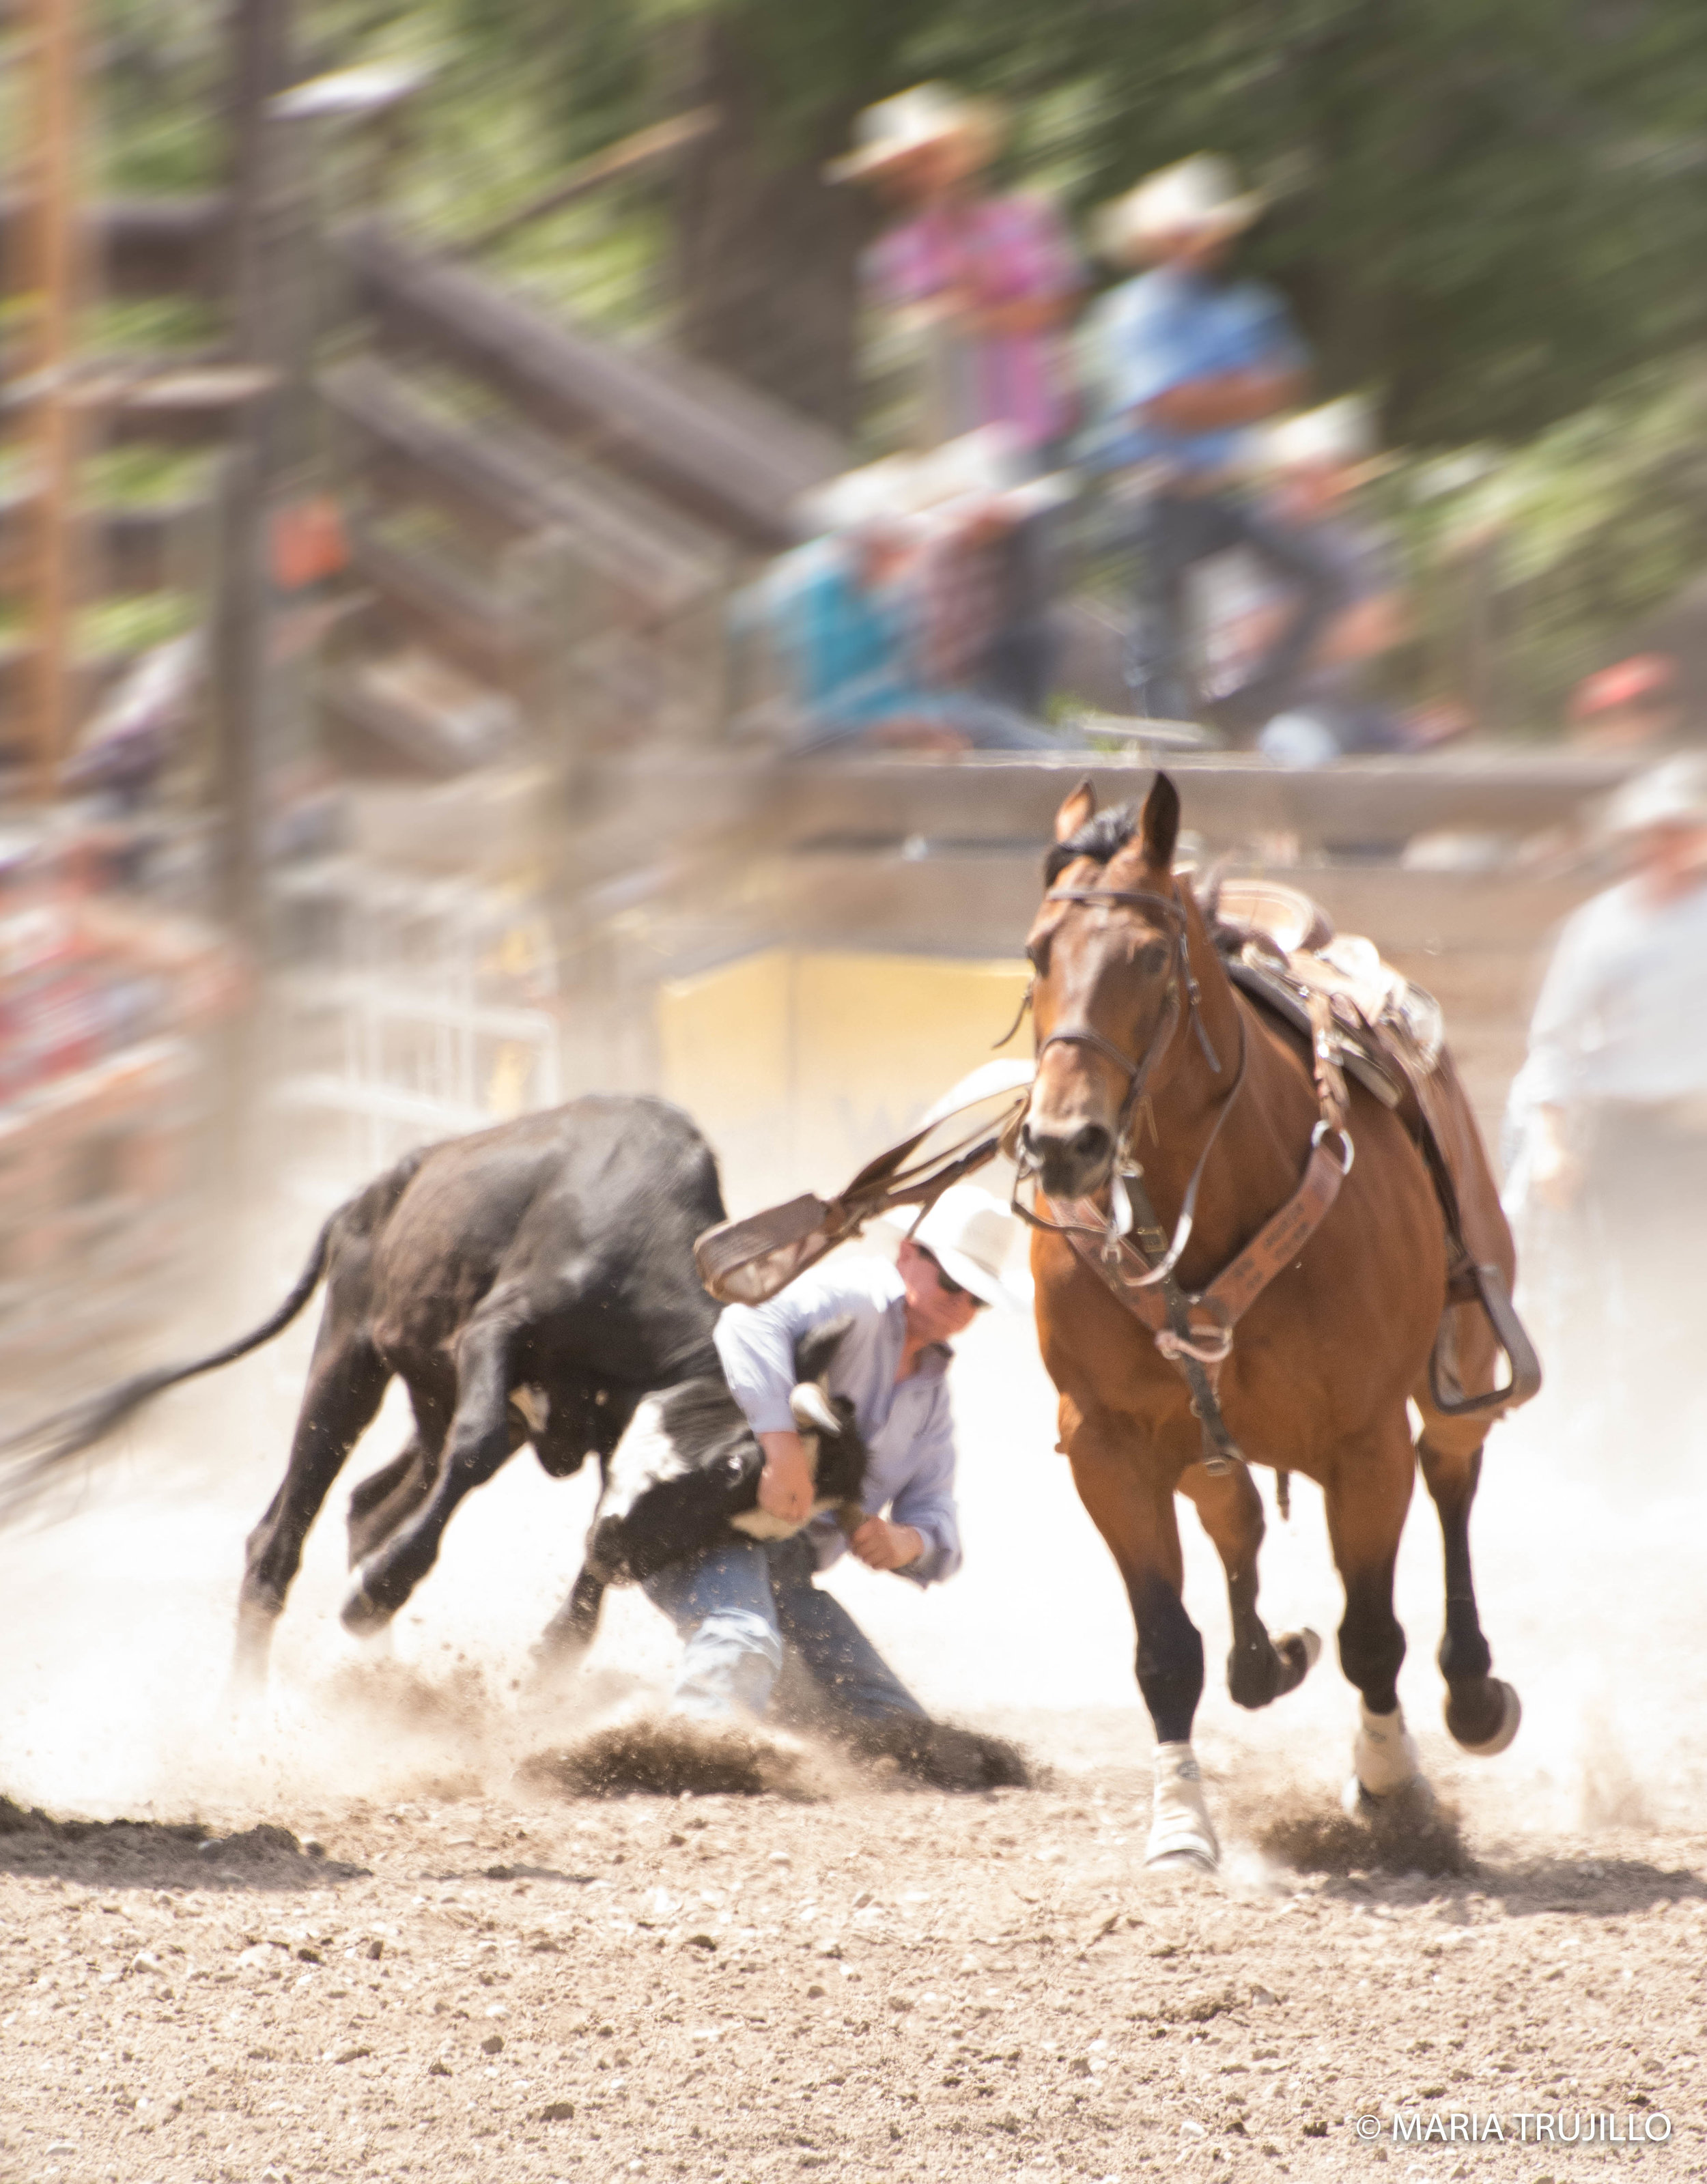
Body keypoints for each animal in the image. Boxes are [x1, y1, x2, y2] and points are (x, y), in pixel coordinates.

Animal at [1014, 777, 1521, 1869]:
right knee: (1233, 1512)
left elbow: (1371, 1629)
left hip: (1462, 1356)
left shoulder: (1365, 1442)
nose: (1065, 1142)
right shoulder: (1105, 1444)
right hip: (1201, 1440)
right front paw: (1179, 1825)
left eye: (1150, 957)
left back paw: (1469, 1690)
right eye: (1037, 951)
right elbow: (1165, 1647)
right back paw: (1266, 1657)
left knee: (1452, 1474)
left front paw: (1392, 1788)